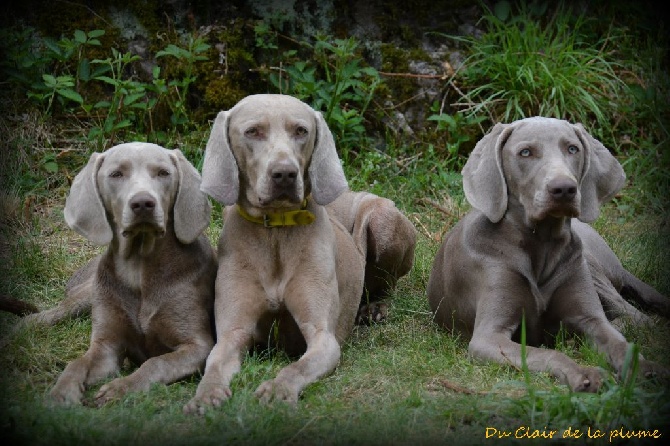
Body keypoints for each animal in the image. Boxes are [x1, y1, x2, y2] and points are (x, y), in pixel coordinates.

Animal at [428, 116, 668, 392]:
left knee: (637, 318)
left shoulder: (590, 318)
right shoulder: (488, 336)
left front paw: (646, 368)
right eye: (525, 152)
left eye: (573, 148)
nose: (564, 189)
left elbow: (620, 343)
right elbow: (545, 353)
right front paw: (584, 373)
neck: (541, 244)